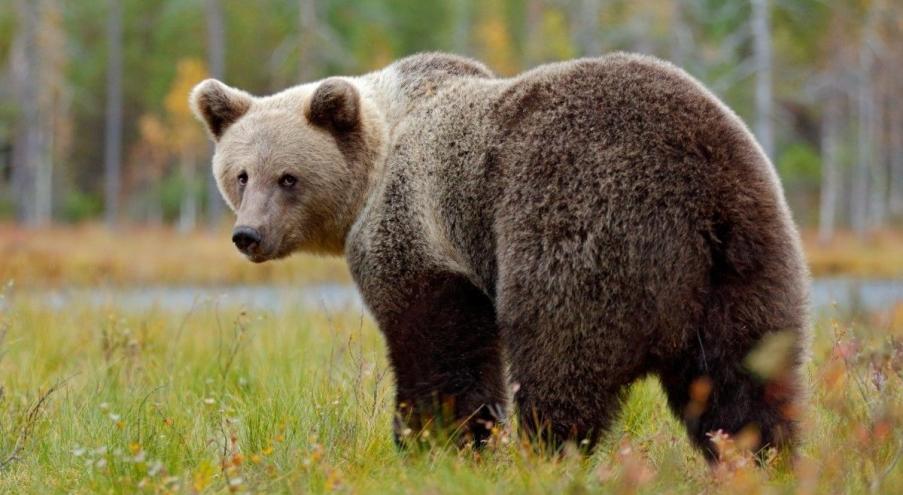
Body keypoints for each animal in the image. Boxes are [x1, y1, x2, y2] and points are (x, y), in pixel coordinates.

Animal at [191, 52, 812, 460]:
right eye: (240, 174)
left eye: (287, 177)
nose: (249, 235)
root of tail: (702, 186)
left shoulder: (422, 226)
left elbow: (439, 347)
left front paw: (434, 440)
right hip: (749, 256)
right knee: (745, 375)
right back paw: (757, 456)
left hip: (582, 223)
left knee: (561, 355)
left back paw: (542, 454)